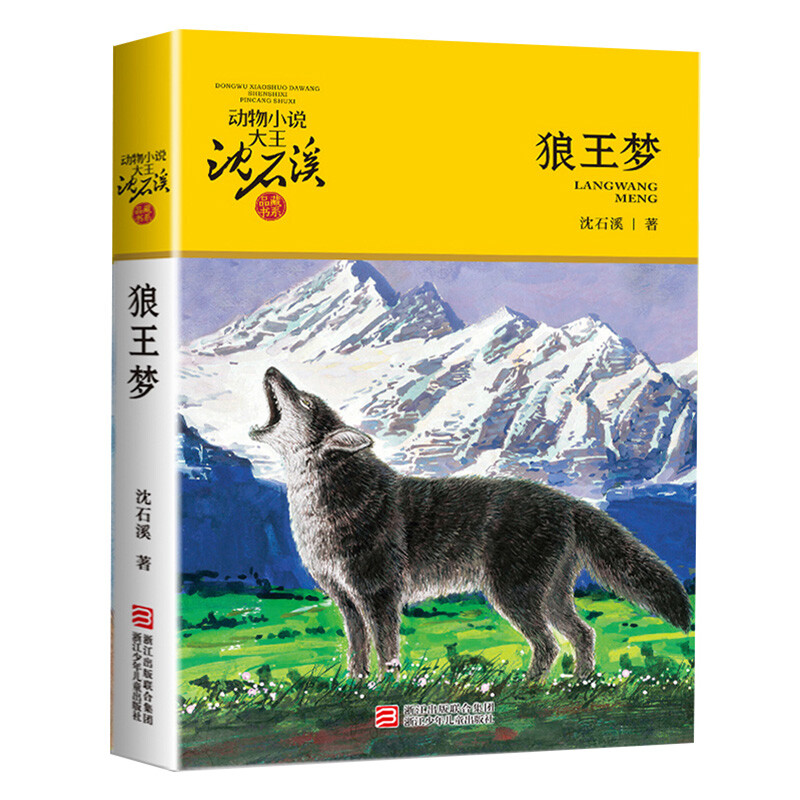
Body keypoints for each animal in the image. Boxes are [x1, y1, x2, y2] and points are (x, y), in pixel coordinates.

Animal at [250, 367, 692, 680]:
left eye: (305, 402)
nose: (270, 368)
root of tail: (568, 502)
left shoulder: (378, 596)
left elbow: (387, 651)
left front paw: (385, 690)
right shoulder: (346, 600)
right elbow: (357, 652)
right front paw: (355, 687)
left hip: (514, 596)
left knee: (550, 645)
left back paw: (526, 688)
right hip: (549, 596)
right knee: (583, 634)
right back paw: (579, 684)